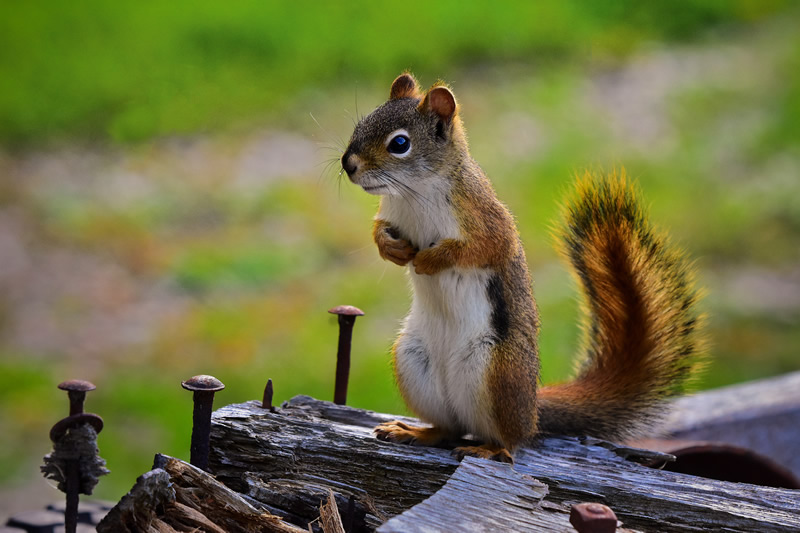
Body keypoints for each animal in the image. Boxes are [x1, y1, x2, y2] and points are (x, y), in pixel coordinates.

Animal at [340, 73, 704, 463]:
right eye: (360, 125)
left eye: (400, 143)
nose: (348, 164)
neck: (412, 193)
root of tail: (532, 411)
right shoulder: (391, 214)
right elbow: (379, 231)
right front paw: (392, 249)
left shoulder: (485, 219)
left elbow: (483, 249)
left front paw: (429, 260)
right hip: (413, 361)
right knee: (449, 428)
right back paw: (417, 431)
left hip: (498, 372)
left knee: (509, 438)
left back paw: (491, 448)